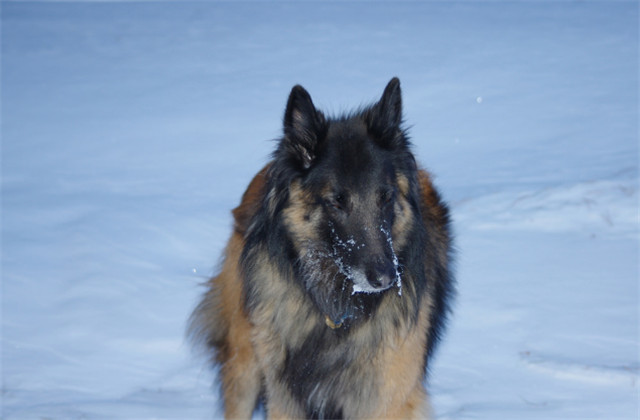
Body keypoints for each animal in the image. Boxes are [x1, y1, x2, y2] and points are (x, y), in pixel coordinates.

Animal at [189, 78, 454, 419]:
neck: (333, 303)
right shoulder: (284, 398)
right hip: (244, 362)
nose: (385, 278)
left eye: (385, 197)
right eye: (337, 201)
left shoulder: (387, 400)